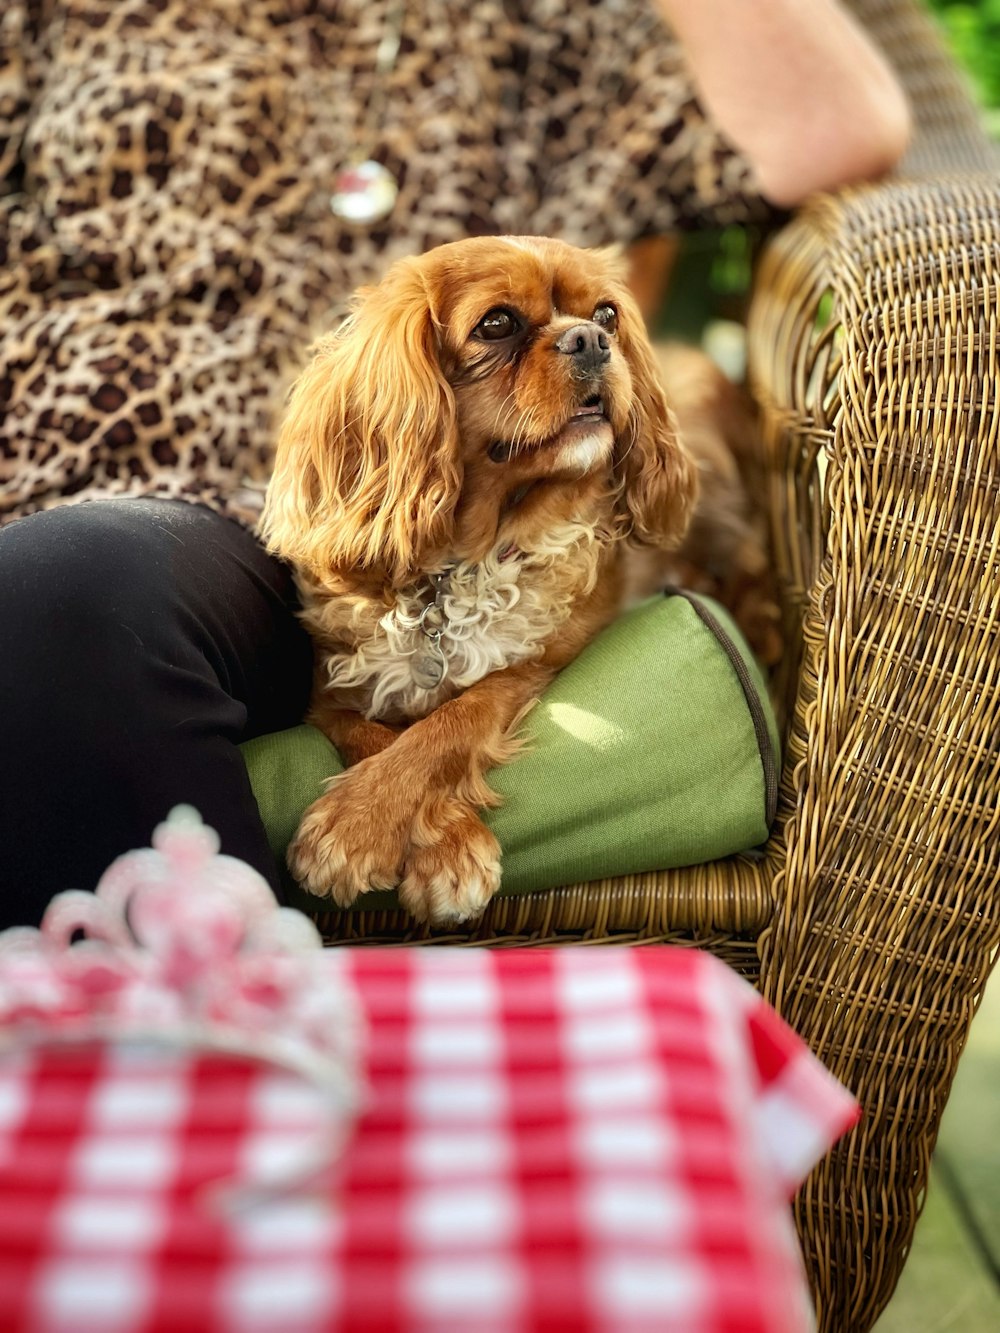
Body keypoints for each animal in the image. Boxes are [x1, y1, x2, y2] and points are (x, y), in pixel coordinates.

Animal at [262, 234, 773, 927]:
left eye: (607, 314)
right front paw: (422, 834)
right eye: (497, 324)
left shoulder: (540, 662)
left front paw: (355, 828)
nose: (590, 338)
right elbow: (367, 732)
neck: (464, 563)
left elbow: (454, 719)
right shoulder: (325, 691)